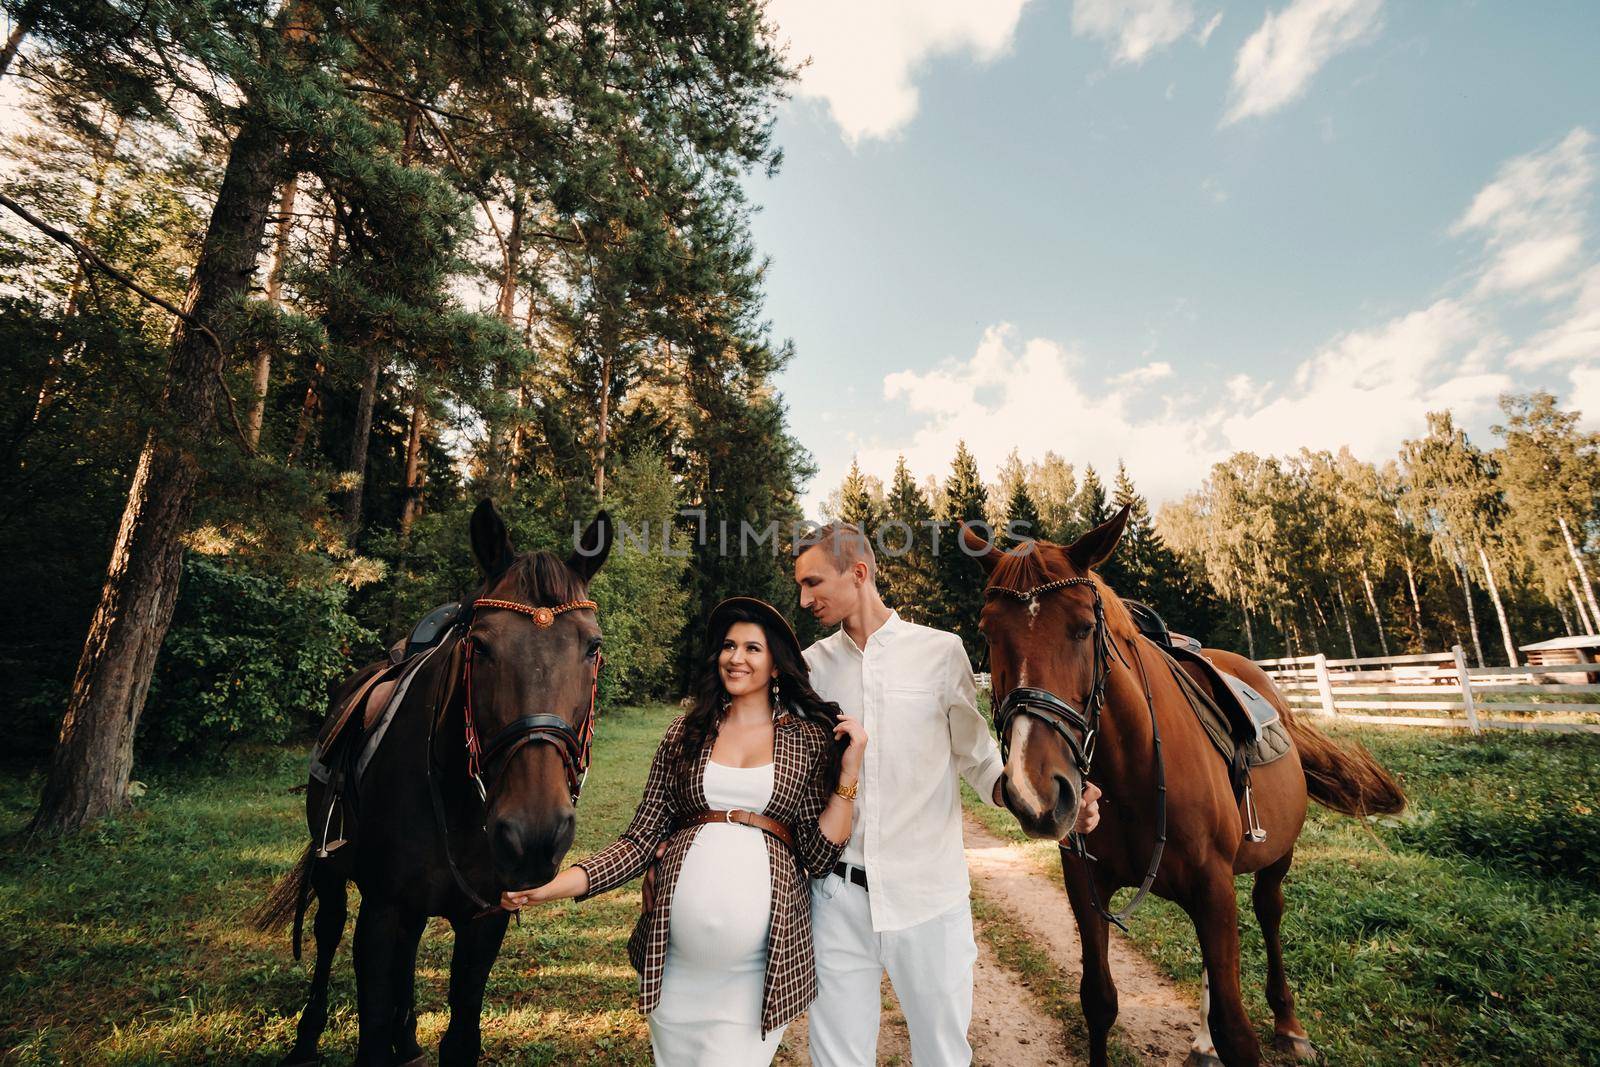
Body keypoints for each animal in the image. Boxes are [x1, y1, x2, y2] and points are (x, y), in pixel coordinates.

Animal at [252, 502, 608, 1067]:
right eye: (480, 647)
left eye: (593, 649)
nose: (533, 836)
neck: (459, 803)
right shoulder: (379, 914)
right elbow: (371, 1032)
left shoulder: (485, 920)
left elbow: (460, 1035)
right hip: (331, 870)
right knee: (327, 934)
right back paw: (307, 1041)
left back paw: (408, 1037)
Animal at [960, 511, 1401, 1067]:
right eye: (987, 632)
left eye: (1084, 627)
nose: (1035, 791)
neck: (1132, 773)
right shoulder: (1086, 884)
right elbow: (1099, 1000)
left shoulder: (1212, 887)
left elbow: (1238, 1032)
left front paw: (1243, 1033)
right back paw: (1205, 1040)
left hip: (1275, 857)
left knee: (1269, 911)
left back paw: (1288, 1024)